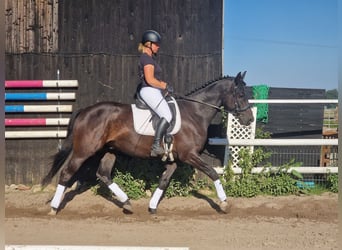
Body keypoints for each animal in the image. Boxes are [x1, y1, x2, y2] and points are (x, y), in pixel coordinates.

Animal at [42, 72, 254, 215]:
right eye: (240, 95)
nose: (250, 119)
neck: (195, 113)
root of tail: (85, 111)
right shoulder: (189, 155)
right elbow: (212, 173)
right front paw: (224, 203)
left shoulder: (173, 159)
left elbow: (164, 181)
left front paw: (152, 207)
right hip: (83, 151)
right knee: (67, 173)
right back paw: (54, 208)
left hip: (109, 150)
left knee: (103, 174)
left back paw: (127, 203)